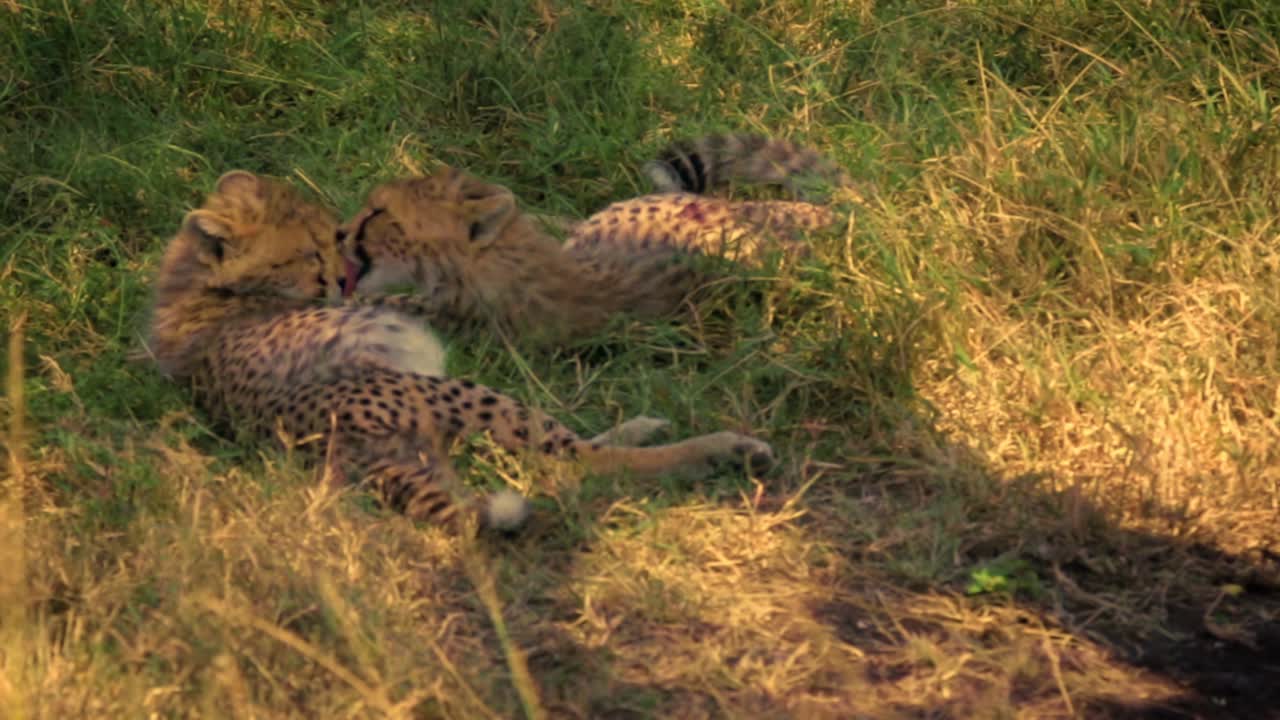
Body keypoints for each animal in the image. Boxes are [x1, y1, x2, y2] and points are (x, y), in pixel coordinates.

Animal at [146, 170, 776, 531]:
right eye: (308, 249)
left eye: (372, 216)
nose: (339, 243)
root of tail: (330, 444)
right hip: (456, 391)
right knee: (577, 461)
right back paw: (721, 449)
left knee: (560, 453)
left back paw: (646, 427)